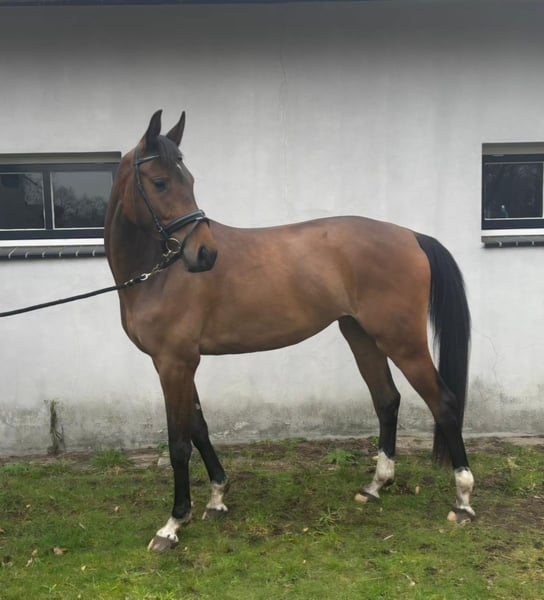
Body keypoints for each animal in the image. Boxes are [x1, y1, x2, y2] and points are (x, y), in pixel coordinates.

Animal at [104, 110, 475, 552]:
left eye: (189, 180)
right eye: (160, 182)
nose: (205, 254)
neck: (158, 274)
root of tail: (411, 236)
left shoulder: (173, 363)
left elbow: (179, 443)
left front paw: (173, 524)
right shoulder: (181, 364)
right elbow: (199, 428)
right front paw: (216, 498)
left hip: (403, 342)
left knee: (445, 404)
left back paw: (463, 500)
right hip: (361, 335)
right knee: (387, 400)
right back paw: (374, 486)